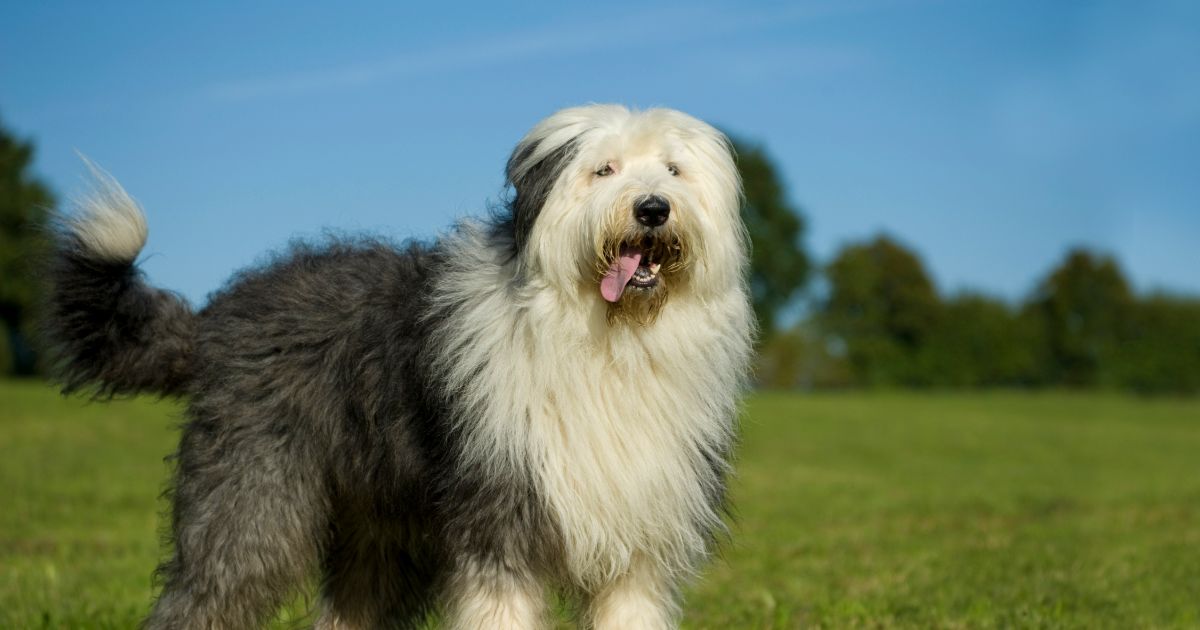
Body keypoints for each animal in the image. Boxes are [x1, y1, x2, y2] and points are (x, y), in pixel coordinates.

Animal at [54, 105, 758, 624]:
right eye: (602, 169)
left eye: (673, 169)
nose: (652, 208)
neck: (607, 340)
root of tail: (217, 314)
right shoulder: (498, 518)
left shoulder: (637, 541)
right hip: (252, 495)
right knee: (208, 593)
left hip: (374, 524)